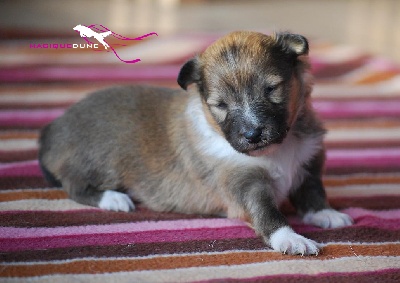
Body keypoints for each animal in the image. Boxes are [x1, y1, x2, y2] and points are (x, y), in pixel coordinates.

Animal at [39, 31, 354, 258]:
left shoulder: (307, 162)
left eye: (271, 89)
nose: (253, 134)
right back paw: (114, 199)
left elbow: (312, 192)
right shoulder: (242, 182)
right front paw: (292, 238)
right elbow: (266, 212)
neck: (278, 149)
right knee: (74, 184)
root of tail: (54, 127)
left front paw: (326, 214)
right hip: (98, 159)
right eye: (221, 105)